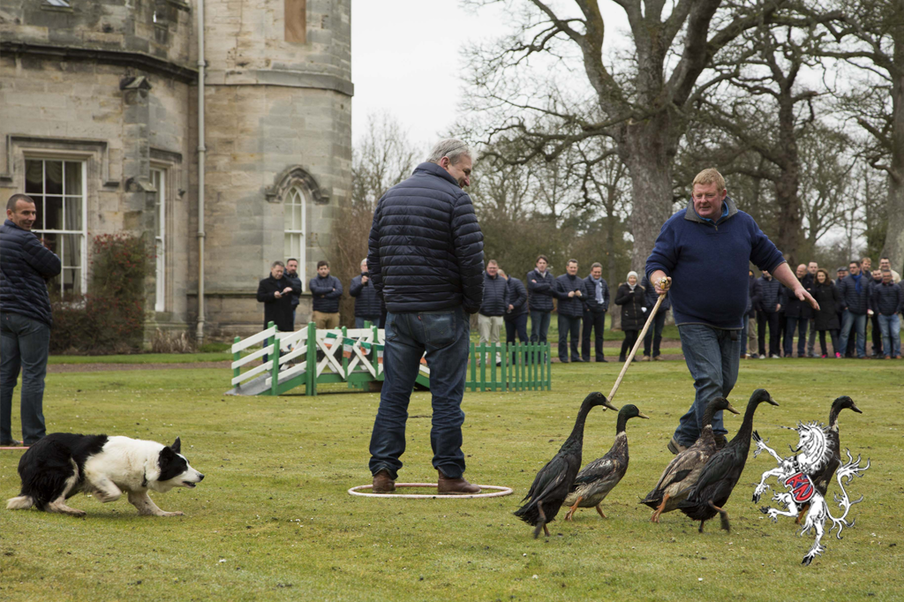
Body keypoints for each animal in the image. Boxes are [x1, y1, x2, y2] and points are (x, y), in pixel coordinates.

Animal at [5, 432, 204, 516]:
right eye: (182, 467)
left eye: (188, 463)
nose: (202, 476)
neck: (146, 461)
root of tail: (29, 452)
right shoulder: (93, 469)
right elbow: (115, 492)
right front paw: (102, 495)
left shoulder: (138, 491)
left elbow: (150, 506)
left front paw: (166, 513)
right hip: (69, 471)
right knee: (54, 501)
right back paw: (74, 511)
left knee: (45, 502)